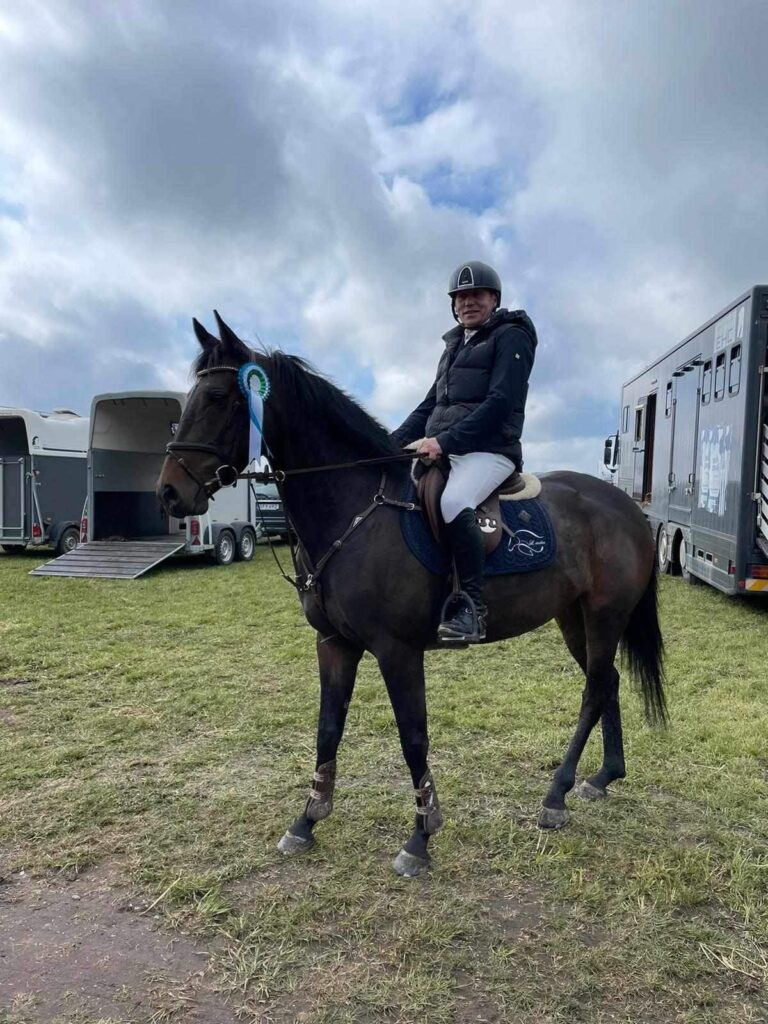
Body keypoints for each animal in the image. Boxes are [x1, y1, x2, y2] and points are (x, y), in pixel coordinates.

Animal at [157, 313, 667, 880]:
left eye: (219, 397)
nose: (170, 492)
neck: (354, 507)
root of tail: (625, 506)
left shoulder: (397, 650)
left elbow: (413, 736)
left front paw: (420, 838)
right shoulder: (334, 644)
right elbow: (328, 729)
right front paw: (306, 821)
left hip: (604, 615)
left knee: (594, 689)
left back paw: (555, 796)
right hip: (573, 618)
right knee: (608, 682)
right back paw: (602, 778)